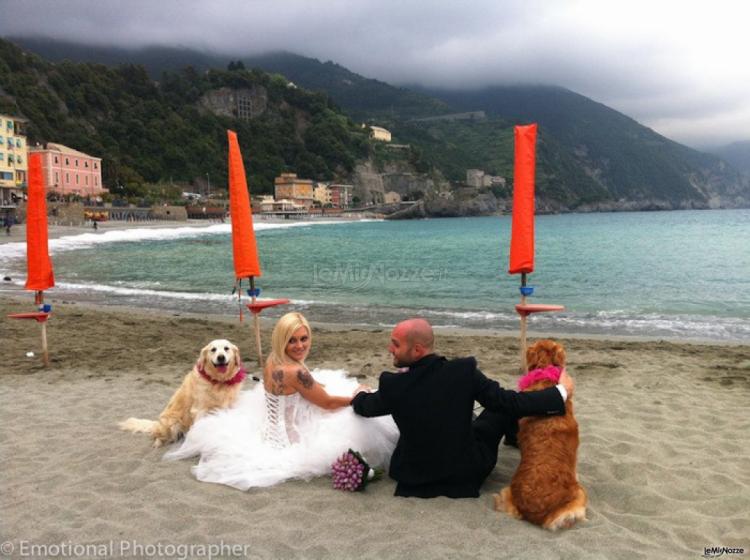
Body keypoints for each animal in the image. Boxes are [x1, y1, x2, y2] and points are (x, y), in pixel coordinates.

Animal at [117, 340, 245, 448]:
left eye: (226, 348)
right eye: (213, 349)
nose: (221, 357)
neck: (219, 381)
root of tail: (156, 424)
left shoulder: (228, 407)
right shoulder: (200, 410)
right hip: (172, 423)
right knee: (158, 435)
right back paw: (158, 443)